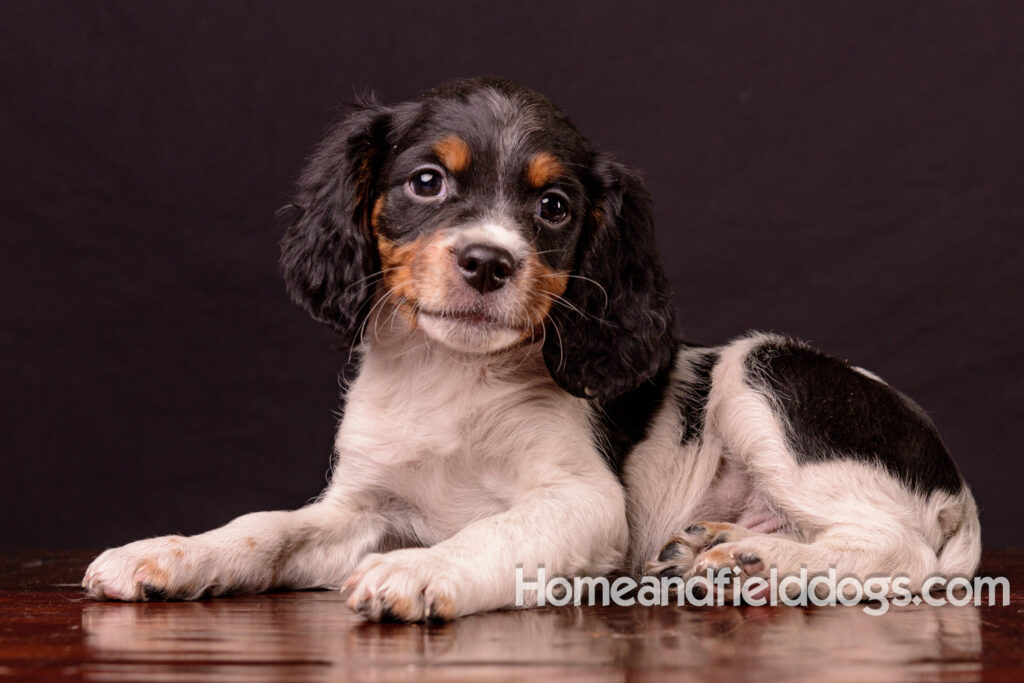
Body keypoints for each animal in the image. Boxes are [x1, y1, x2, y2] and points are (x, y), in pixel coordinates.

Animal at [83, 78, 978, 618]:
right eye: (427, 182)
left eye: (554, 205)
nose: (488, 261)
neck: (450, 377)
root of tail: (955, 486)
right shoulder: (361, 506)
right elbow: (264, 527)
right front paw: (169, 552)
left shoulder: (584, 500)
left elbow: (494, 531)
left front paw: (424, 571)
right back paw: (721, 550)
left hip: (760, 372)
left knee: (893, 547)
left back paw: (761, 563)